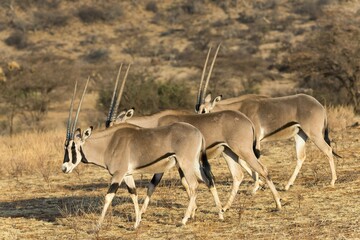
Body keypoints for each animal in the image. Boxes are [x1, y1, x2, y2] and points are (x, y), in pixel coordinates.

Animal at [63, 76, 224, 229]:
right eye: (65, 147)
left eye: (73, 147)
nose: (64, 168)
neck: (109, 143)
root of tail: (198, 132)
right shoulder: (127, 175)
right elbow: (134, 194)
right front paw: (136, 223)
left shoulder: (118, 174)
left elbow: (108, 196)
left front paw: (97, 227)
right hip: (194, 164)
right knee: (208, 179)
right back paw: (221, 214)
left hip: (186, 164)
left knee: (194, 185)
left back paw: (183, 220)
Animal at [108, 64, 282, 214]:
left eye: (112, 126)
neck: (155, 122)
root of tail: (247, 120)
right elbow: (156, 184)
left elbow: (181, 182)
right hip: (228, 152)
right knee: (237, 175)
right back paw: (225, 207)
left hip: (243, 150)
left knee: (263, 170)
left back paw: (278, 204)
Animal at [197, 46, 340, 190]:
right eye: (197, 109)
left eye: (205, 110)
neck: (240, 107)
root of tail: (319, 105)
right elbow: (243, 161)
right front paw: (260, 183)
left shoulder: (254, 141)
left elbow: (252, 160)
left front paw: (256, 186)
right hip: (301, 134)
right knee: (301, 157)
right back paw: (287, 185)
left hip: (314, 133)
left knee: (328, 149)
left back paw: (332, 181)